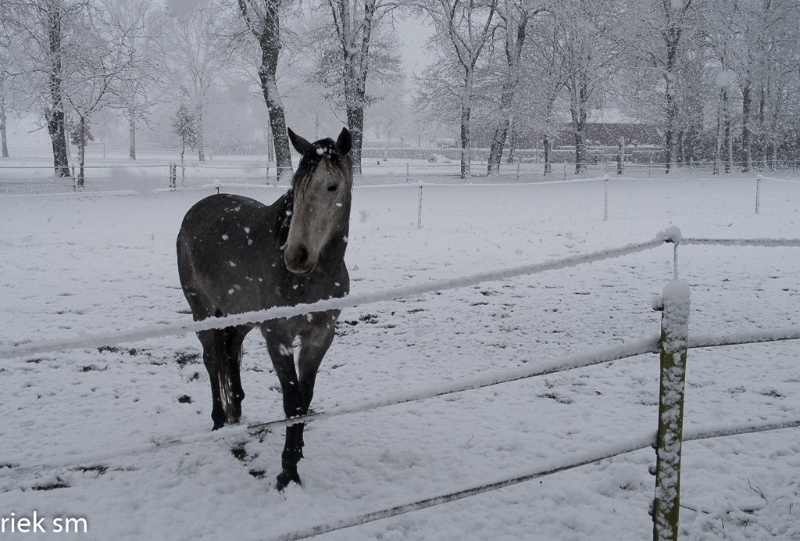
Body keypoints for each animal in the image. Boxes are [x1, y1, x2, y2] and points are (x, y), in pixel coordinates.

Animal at [178, 127, 354, 490]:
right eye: (295, 185)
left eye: (332, 186)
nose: (296, 255)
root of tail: (194, 211)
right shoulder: (278, 336)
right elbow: (292, 400)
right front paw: (287, 472)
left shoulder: (320, 336)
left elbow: (305, 399)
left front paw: (295, 461)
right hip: (202, 309)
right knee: (211, 358)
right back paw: (218, 420)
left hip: (242, 314)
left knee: (231, 347)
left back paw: (237, 408)